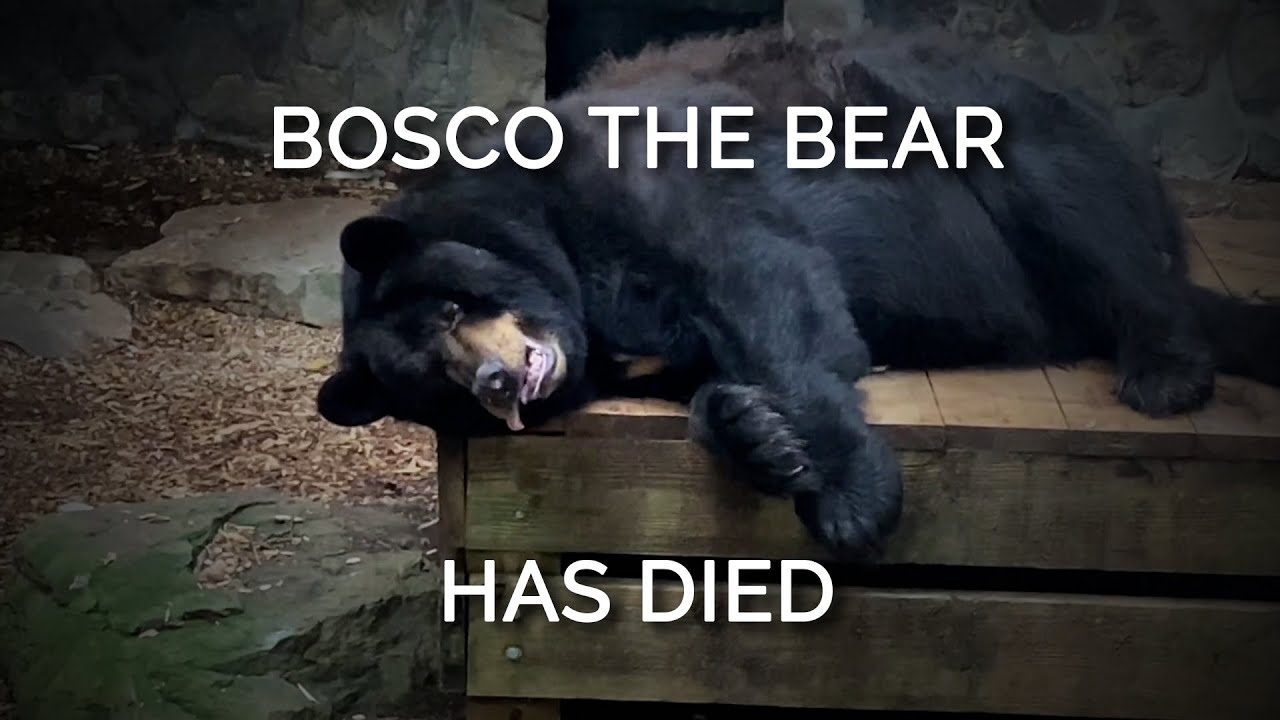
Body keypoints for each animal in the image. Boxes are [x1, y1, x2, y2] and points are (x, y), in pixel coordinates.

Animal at [316, 27, 1280, 562]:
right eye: (434, 384)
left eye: (449, 308)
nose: (496, 382)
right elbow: (706, 378)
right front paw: (757, 433)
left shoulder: (651, 173)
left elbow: (765, 283)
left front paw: (851, 499)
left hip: (1002, 136)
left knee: (1088, 225)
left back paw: (1164, 367)